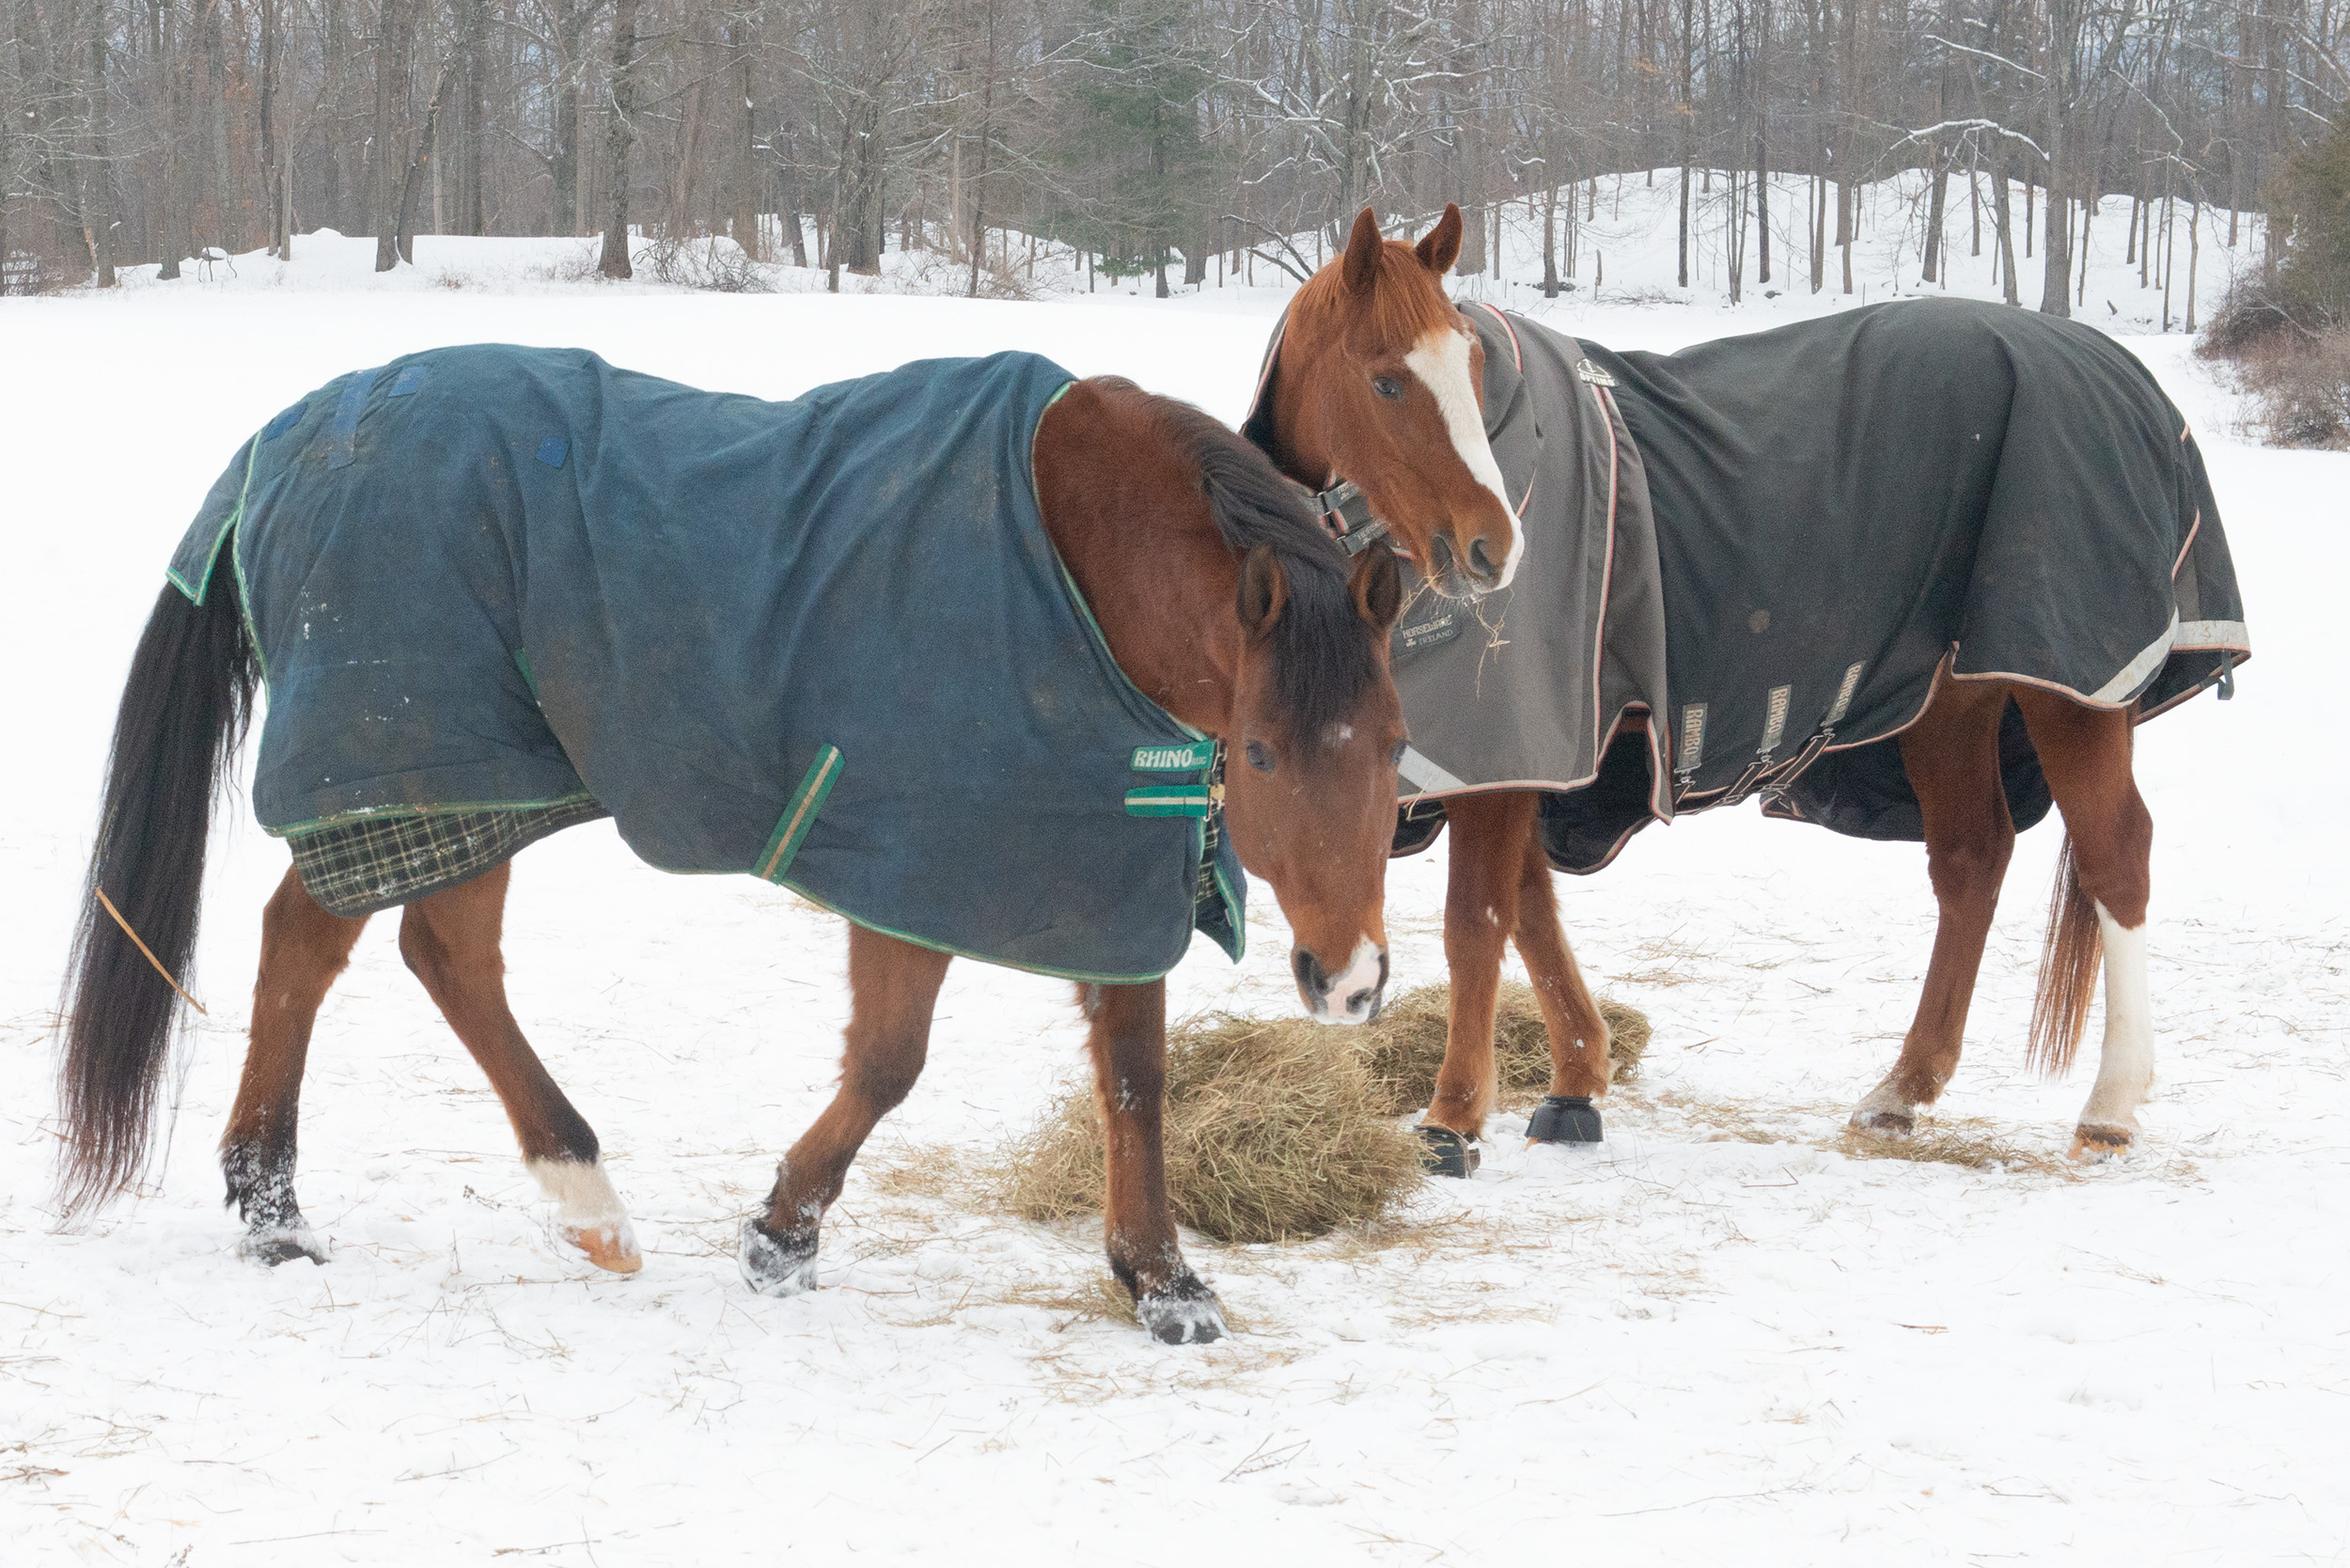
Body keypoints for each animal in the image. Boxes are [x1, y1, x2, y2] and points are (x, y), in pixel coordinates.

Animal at [55, 354, 1401, 1354]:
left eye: (1392, 741)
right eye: (1263, 753)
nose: (1352, 981)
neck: (1071, 561)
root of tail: (286, 438)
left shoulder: (1107, 859)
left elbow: (1133, 1081)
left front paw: (1162, 1281)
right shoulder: (909, 867)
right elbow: (889, 1066)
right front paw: (781, 1236)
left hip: (460, 785)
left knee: (373, 948)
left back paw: (291, 1202)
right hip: (421, 772)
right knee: (394, 950)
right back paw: (508, 1200)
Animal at [1260, 205, 2247, 1166]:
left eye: (1468, 363)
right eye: (1386, 382)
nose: (1493, 548)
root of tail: (2118, 369)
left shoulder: (1508, 742)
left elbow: (1481, 920)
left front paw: (1454, 1119)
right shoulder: (1528, 754)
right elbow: (1534, 908)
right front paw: (1576, 1081)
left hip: (2069, 684)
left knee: (2117, 855)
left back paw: (2110, 1105)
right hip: (1950, 699)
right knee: (1972, 859)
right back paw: (1904, 1088)